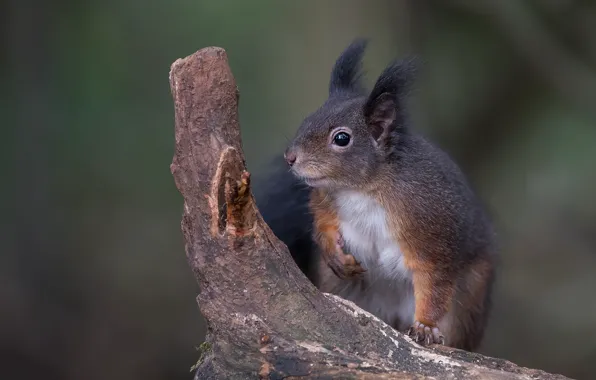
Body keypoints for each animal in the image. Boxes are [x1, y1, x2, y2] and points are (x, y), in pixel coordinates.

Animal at [282, 38, 496, 350]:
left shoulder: (433, 229)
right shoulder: (324, 197)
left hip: (468, 300)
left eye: (342, 138)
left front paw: (425, 326)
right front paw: (334, 253)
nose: (290, 157)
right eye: (309, 119)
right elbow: (322, 221)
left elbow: (435, 281)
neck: (363, 189)